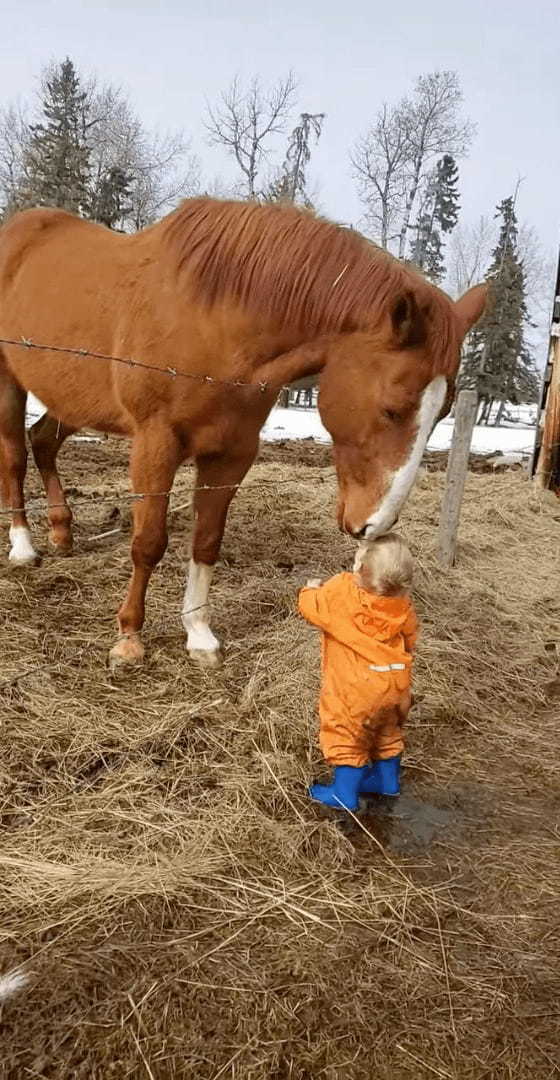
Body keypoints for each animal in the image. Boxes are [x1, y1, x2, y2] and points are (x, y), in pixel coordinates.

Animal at [0, 195, 485, 665]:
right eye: (391, 409)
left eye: (442, 412)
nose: (374, 525)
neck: (214, 324)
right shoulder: (156, 445)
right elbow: (149, 542)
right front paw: (130, 637)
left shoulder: (232, 454)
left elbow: (206, 542)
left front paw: (199, 635)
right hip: (11, 384)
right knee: (16, 457)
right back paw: (23, 547)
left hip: (73, 398)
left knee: (43, 442)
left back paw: (62, 533)